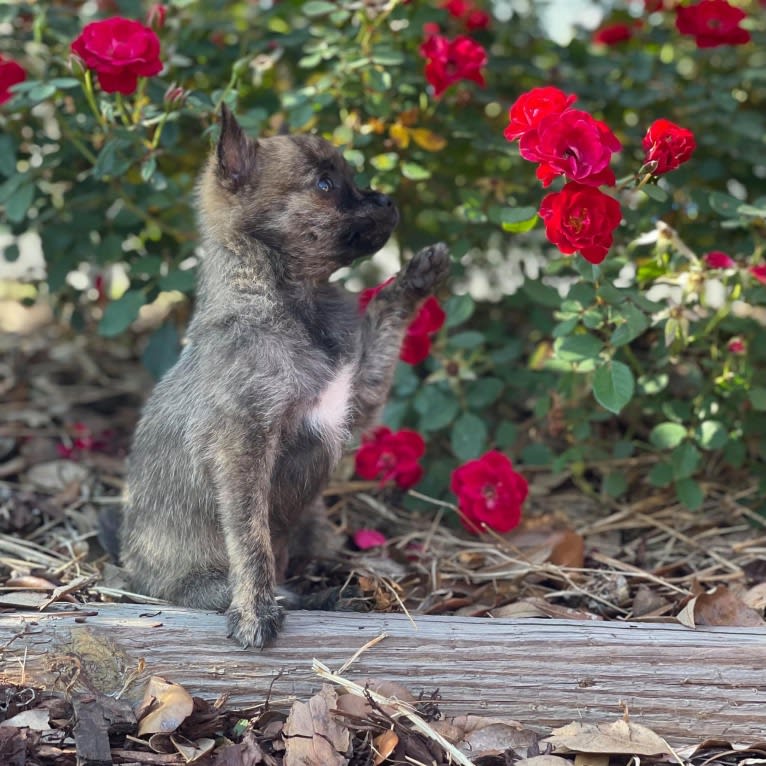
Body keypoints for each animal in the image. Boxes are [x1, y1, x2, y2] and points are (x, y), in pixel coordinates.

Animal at [121, 108, 450, 648]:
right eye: (325, 184)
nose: (387, 200)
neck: (296, 301)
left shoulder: (358, 395)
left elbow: (385, 312)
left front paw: (416, 276)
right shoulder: (242, 446)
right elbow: (250, 539)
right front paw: (254, 610)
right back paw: (311, 596)